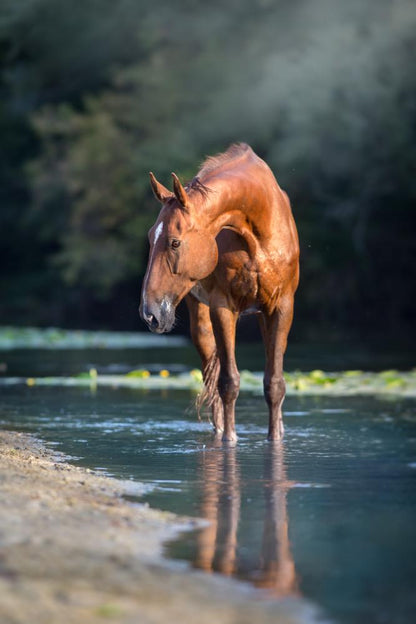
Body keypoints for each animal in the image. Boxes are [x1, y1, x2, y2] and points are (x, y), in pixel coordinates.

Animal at [140, 143, 300, 442]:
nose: (150, 313)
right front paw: (229, 440)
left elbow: (274, 383)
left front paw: (275, 438)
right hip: (201, 321)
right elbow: (228, 382)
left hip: (264, 315)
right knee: (211, 377)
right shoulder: (223, 307)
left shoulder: (282, 307)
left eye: (175, 242)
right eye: (150, 238)